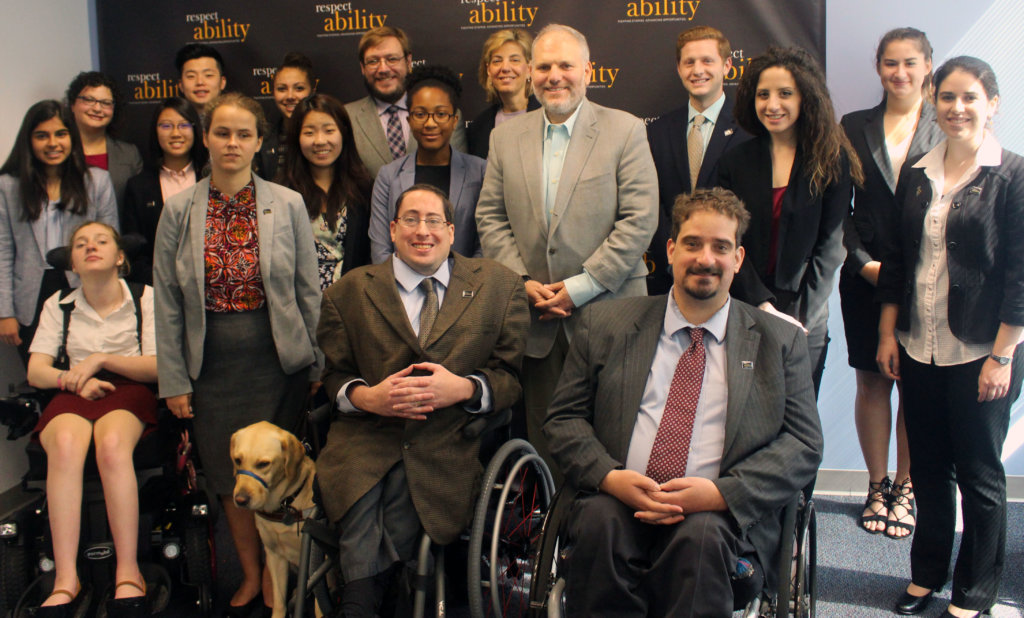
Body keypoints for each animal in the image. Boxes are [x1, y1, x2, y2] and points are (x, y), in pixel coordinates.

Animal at [231, 419, 315, 618]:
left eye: (263, 464)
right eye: (238, 460)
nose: (240, 500)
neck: (283, 505)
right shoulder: (275, 555)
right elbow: (279, 602)